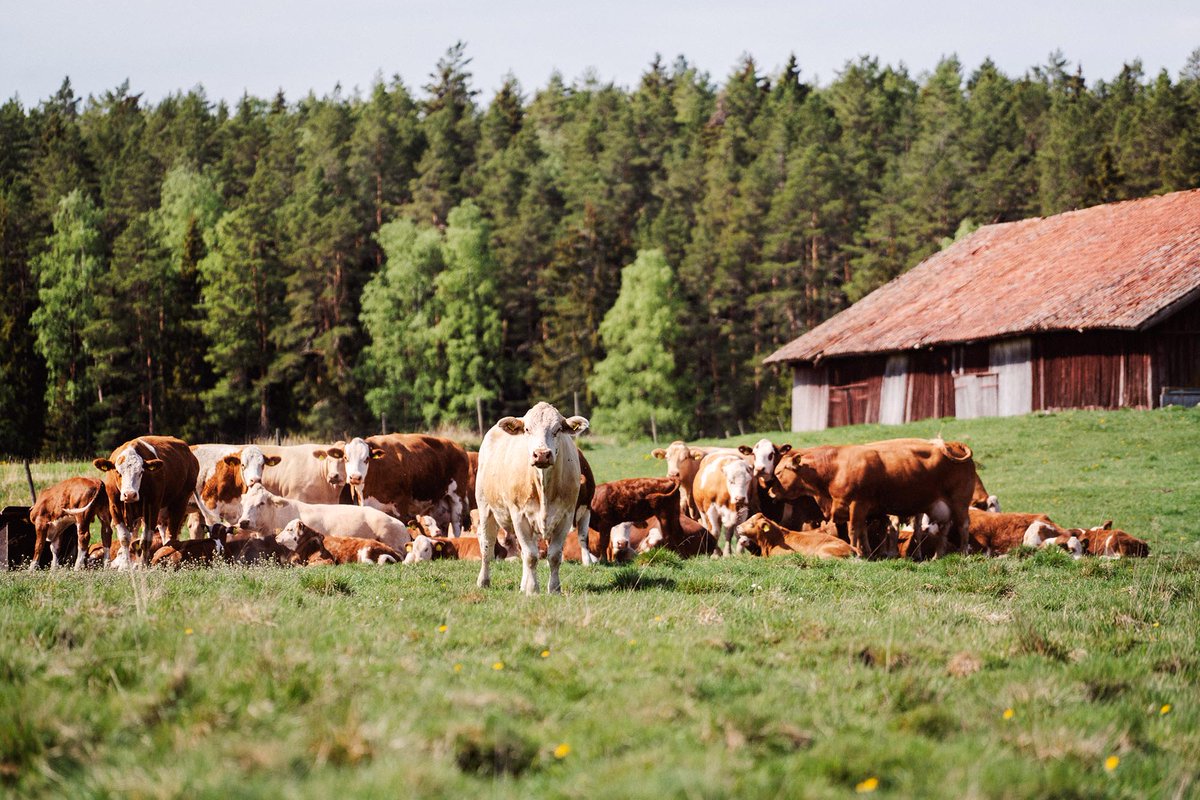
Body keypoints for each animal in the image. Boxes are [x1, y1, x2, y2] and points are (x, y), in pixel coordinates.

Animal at [338, 431, 472, 537]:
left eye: (366, 459)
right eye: (345, 458)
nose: (355, 477)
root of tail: (459, 448)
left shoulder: (401, 503)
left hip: (457, 497)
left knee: (456, 525)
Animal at [477, 400, 590, 594]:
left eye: (558, 429)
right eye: (527, 429)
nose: (542, 454)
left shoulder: (566, 517)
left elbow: (554, 556)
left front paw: (554, 589)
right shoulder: (519, 516)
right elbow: (531, 556)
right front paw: (532, 590)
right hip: (485, 506)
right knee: (487, 546)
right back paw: (483, 581)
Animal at [772, 438, 979, 556]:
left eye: (780, 471)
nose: (771, 491)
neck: (835, 466)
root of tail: (953, 445)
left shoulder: (857, 504)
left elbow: (854, 531)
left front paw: (858, 553)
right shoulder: (858, 509)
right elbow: (862, 532)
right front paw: (867, 552)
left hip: (960, 502)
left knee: (963, 526)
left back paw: (962, 554)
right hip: (942, 507)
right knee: (944, 529)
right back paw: (937, 556)